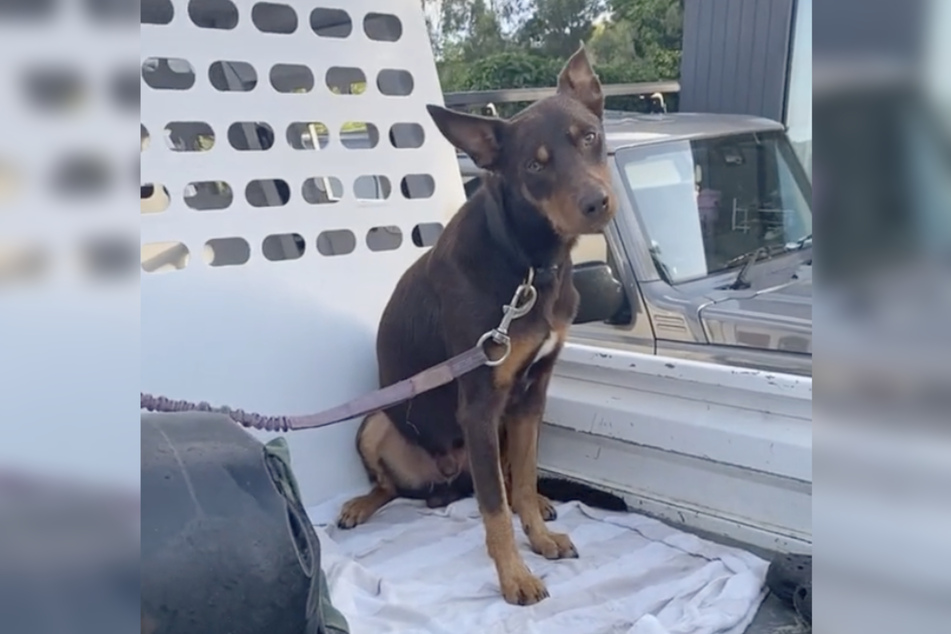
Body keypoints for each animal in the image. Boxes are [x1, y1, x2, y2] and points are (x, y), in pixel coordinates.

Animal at [334, 44, 616, 604]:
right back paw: (360, 504)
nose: (597, 204)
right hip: (375, 421)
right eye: (534, 164)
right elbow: (494, 508)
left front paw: (540, 538)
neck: (529, 263)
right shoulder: (481, 405)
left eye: (589, 137)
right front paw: (515, 576)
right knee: (393, 487)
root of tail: (445, 482)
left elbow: (522, 482)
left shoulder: (531, 397)